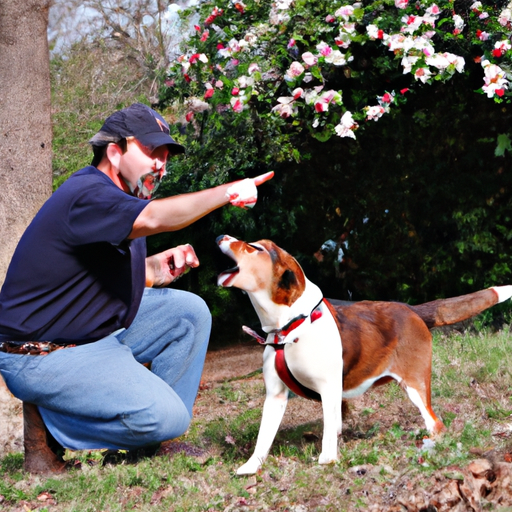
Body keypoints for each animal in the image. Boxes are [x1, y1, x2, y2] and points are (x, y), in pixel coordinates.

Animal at [216, 236, 512, 476]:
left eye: (255, 248)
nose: (220, 236)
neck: (289, 327)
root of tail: (412, 309)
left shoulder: (328, 389)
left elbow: (329, 432)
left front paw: (327, 459)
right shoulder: (275, 396)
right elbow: (263, 438)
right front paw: (251, 466)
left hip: (415, 386)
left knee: (435, 422)